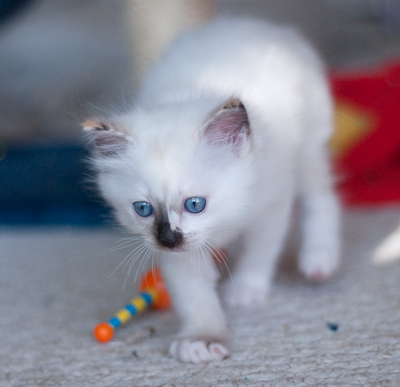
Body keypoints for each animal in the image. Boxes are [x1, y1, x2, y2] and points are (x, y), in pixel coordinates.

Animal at [83, 17, 340, 364]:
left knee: (322, 197)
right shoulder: (180, 255)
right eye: (143, 209)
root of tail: (255, 24)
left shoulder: (271, 204)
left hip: (308, 148)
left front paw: (245, 290)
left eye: (195, 204)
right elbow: (195, 295)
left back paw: (319, 259)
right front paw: (202, 337)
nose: (167, 239)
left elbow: (260, 252)